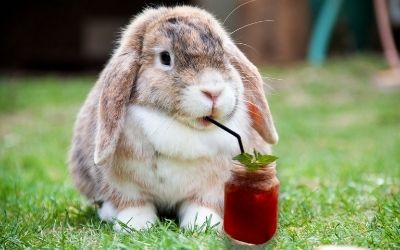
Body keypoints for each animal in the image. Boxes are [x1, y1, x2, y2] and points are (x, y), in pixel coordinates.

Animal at [69, 5, 276, 232]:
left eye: (223, 53)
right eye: (165, 58)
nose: (213, 92)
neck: (178, 125)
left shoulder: (212, 187)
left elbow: (201, 204)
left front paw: (202, 225)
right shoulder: (123, 185)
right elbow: (134, 204)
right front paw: (136, 225)